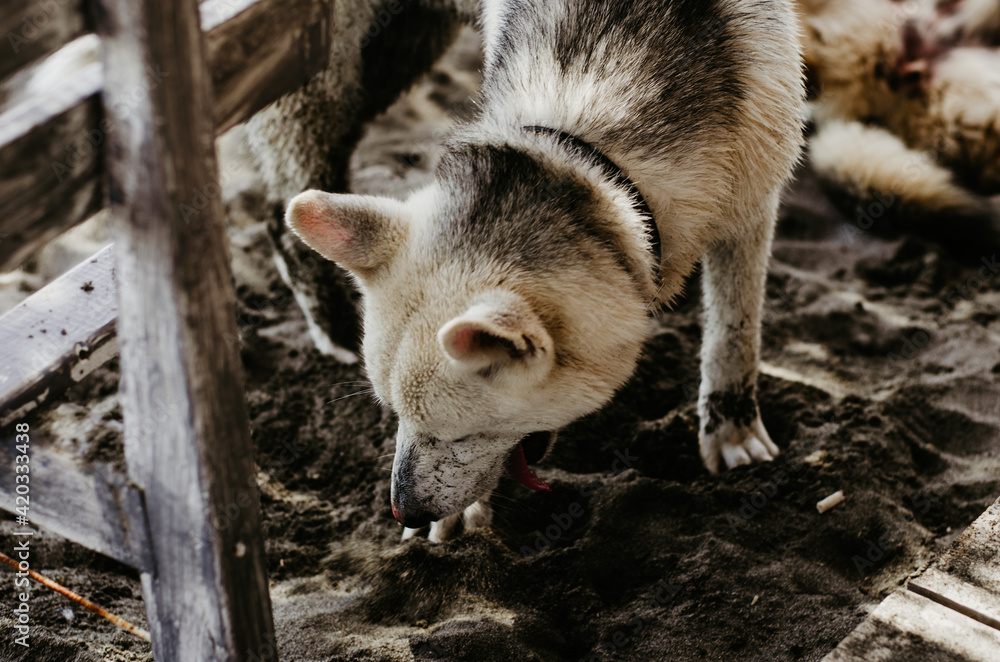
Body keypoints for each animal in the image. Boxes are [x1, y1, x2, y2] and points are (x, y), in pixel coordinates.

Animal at [284, 0, 804, 540]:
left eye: (462, 435)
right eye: (393, 414)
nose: (403, 513)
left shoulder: (752, 203)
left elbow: (733, 333)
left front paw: (733, 431)